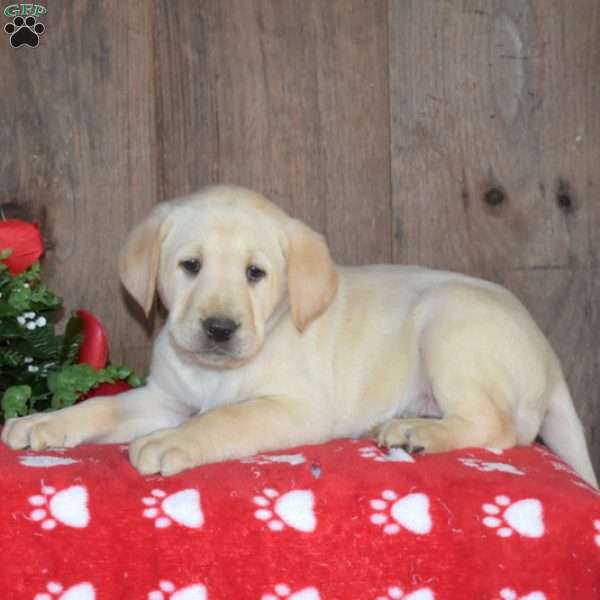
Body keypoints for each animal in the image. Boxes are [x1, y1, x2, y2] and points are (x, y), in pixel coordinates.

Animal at [2, 184, 596, 488]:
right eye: (190, 266)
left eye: (255, 273)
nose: (219, 329)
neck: (217, 372)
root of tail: (551, 359)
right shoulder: (164, 398)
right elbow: (101, 406)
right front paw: (43, 423)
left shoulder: (293, 408)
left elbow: (224, 418)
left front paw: (171, 443)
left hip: (449, 320)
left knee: (498, 429)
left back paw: (414, 432)